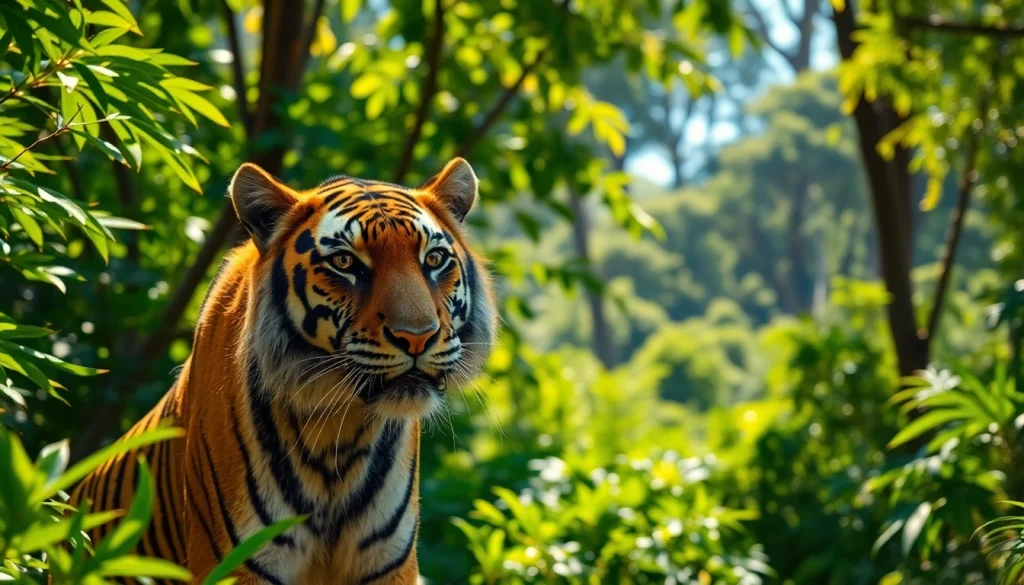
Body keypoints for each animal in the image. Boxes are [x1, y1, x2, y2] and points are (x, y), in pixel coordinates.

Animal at [68, 158, 497, 585]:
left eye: (434, 260)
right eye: (345, 263)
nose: (417, 337)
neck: (339, 429)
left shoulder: (388, 563)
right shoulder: (237, 562)